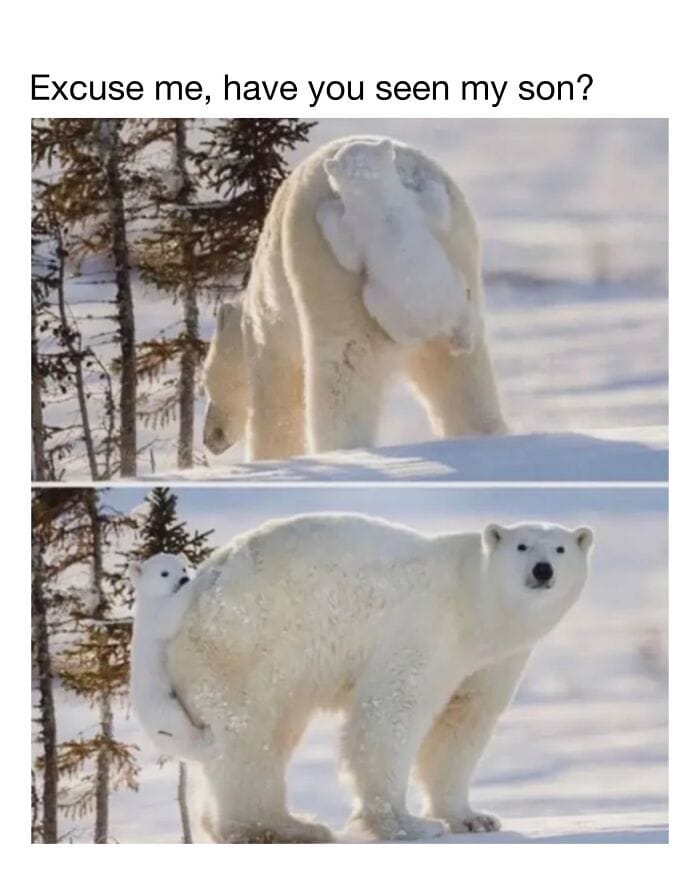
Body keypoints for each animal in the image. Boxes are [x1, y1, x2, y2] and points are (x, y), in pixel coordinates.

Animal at [129, 553, 214, 763]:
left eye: (182, 568)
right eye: (164, 573)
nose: (184, 579)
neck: (148, 599)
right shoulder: (154, 615)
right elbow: (170, 615)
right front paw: (207, 577)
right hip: (161, 704)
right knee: (179, 727)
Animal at [165, 513, 593, 842]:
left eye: (560, 549)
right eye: (522, 546)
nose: (542, 570)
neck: (474, 604)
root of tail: (198, 586)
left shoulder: (492, 661)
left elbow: (461, 726)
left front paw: (473, 818)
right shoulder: (424, 627)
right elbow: (393, 712)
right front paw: (408, 824)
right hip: (246, 645)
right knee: (250, 735)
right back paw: (282, 826)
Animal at [317, 138, 477, 353]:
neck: (379, 201)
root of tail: (438, 322)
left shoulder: (357, 227)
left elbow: (349, 259)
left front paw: (324, 208)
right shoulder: (413, 206)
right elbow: (439, 217)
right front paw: (428, 181)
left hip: (386, 303)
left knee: (382, 311)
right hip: (454, 289)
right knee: (463, 306)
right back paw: (463, 342)